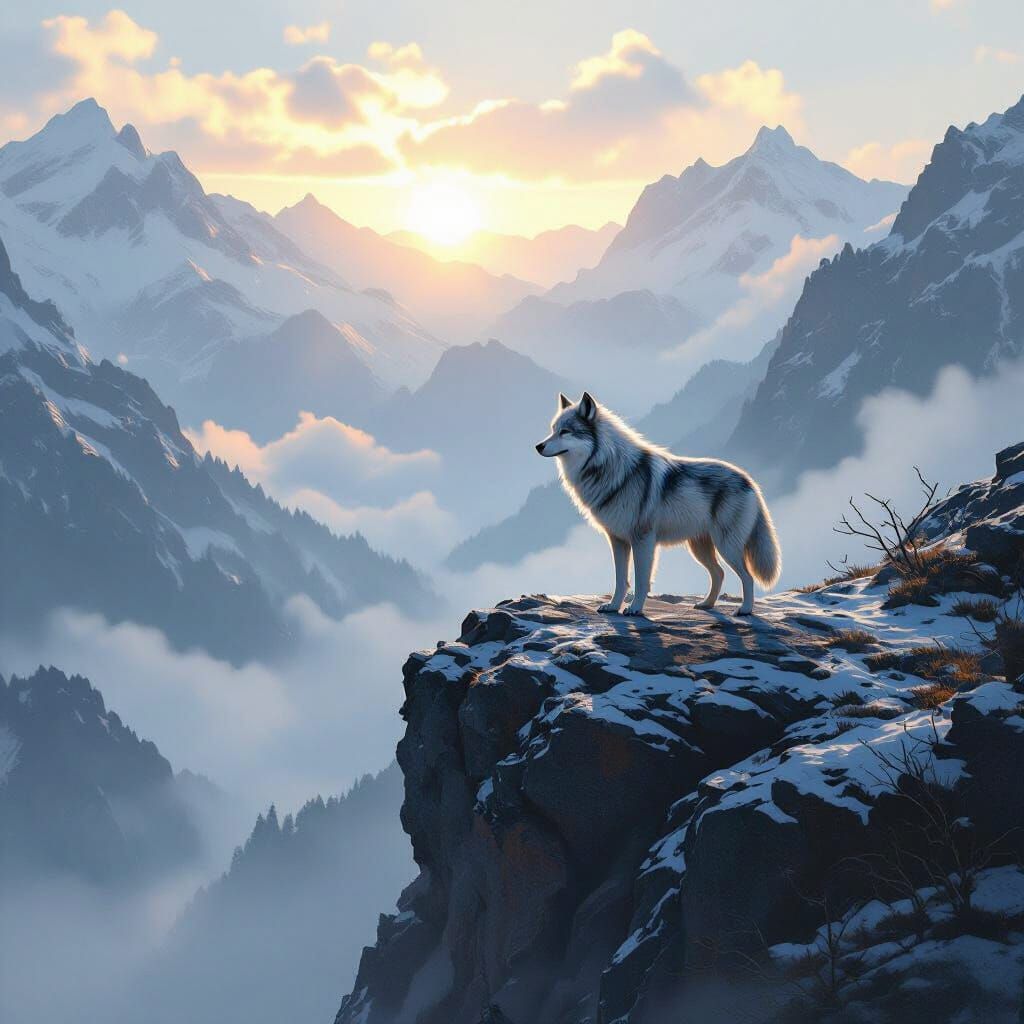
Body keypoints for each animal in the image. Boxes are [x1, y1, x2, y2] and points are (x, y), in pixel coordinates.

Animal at [535, 392, 781, 616]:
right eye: (553, 429)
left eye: (565, 431)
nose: (538, 446)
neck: (610, 467)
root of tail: (749, 481)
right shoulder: (618, 541)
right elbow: (620, 580)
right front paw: (613, 606)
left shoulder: (642, 540)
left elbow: (641, 580)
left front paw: (635, 609)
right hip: (700, 548)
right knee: (719, 573)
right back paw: (706, 604)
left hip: (726, 546)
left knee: (747, 576)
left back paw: (745, 610)